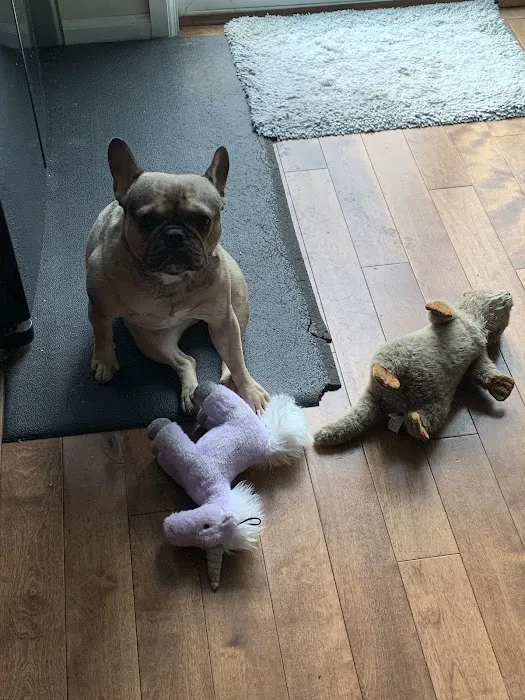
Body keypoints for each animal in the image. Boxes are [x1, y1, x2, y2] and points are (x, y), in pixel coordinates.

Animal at [85, 138, 269, 414]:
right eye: (146, 220)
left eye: (203, 220)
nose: (175, 235)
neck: (171, 281)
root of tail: (187, 322)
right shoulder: (98, 306)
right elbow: (103, 332)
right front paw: (105, 360)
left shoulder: (223, 320)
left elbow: (237, 360)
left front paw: (249, 390)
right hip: (151, 340)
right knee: (186, 360)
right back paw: (192, 393)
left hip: (237, 308)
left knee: (232, 353)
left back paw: (228, 381)